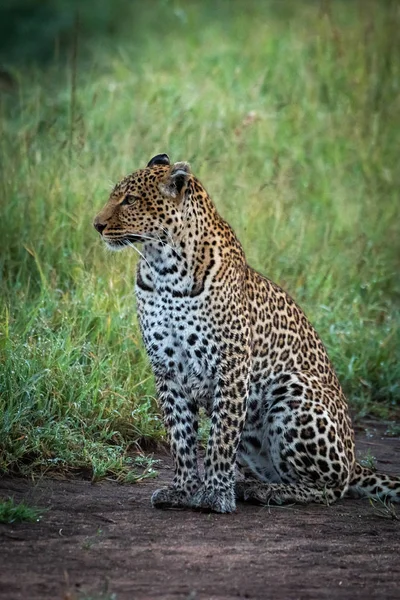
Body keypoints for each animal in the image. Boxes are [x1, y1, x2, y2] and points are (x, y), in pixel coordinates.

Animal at [94, 152, 400, 512]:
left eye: (129, 200)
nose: (96, 225)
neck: (162, 269)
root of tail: (354, 462)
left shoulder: (231, 363)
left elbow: (220, 437)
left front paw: (214, 494)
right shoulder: (167, 368)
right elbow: (180, 437)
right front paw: (183, 490)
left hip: (294, 388)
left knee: (331, 488)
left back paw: (270, 491)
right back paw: (250, 485)